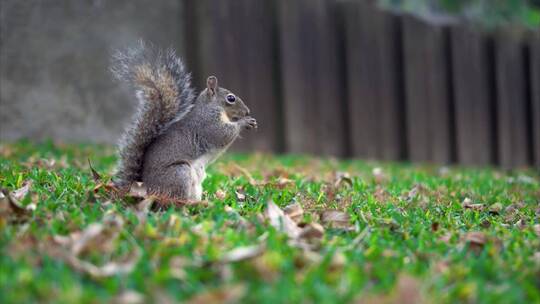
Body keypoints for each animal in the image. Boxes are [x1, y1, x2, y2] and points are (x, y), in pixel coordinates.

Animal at [110, 41, 258, 202]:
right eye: (231, 98)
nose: (247, 111)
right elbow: (222, 134)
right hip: (179, 173)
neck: (211, 107)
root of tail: (143, 187)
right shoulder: (207, 123)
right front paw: (244, 122)